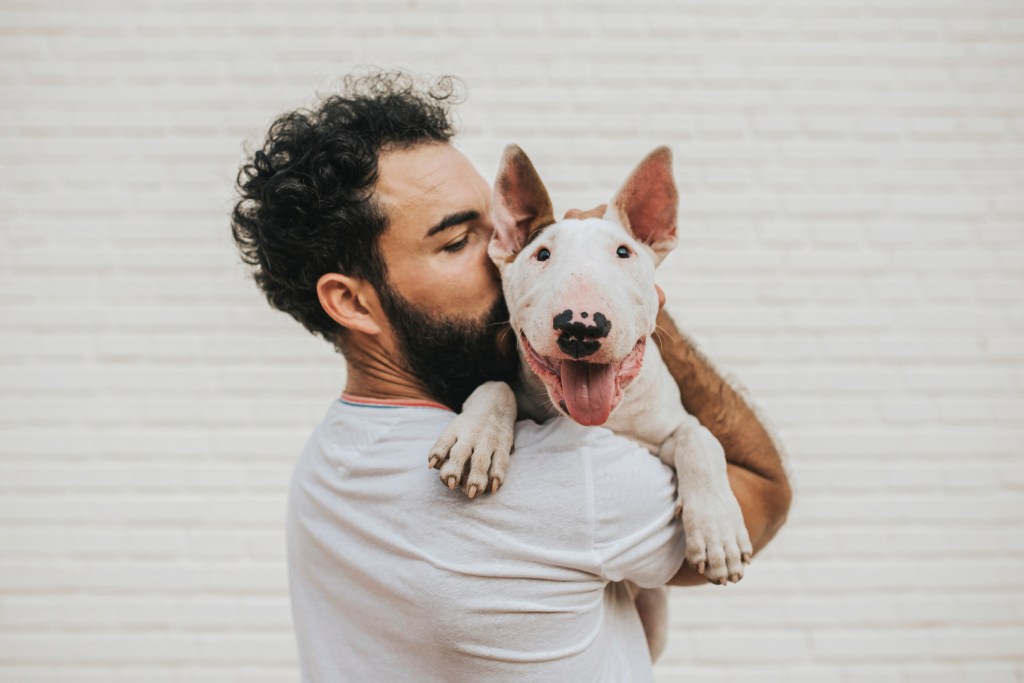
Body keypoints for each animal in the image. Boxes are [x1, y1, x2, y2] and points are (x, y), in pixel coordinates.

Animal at [423, 147, 753, 659]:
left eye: (623, 252)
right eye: (541, 254)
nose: (581, 325)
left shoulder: (667, 429)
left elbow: (700, 437)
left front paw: (718, 531)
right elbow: (496, 386)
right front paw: (478, 441)